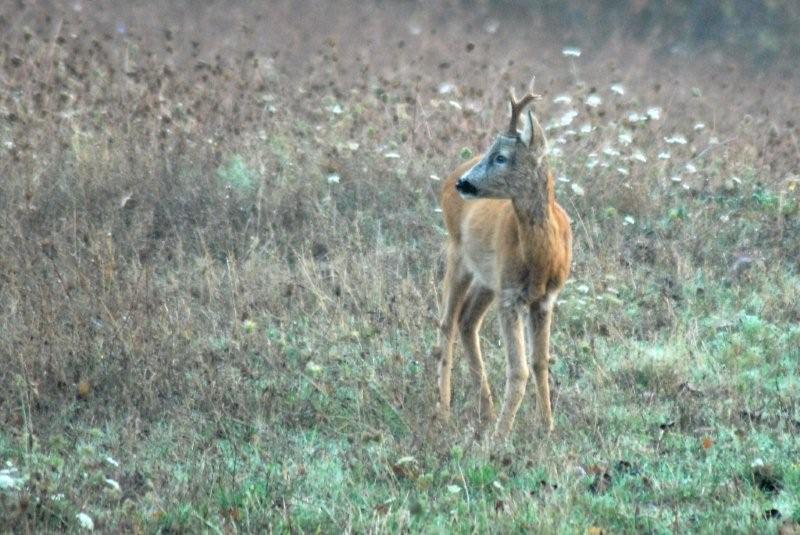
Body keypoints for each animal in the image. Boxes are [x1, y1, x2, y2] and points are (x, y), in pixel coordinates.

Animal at [434, 86, 572, 442]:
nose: (464, 184)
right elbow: (519, 369)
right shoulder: (511, 295)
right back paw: (444, 410)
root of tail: (447, 176)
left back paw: (487, 411)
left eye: (501, 156)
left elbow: (539, 362)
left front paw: (547, 426)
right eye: (493, 151)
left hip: (487, 280)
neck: (540, 258)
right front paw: (501, 436)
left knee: (467, 321)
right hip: (457, 254)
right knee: (447, 323)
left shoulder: (545, 298)